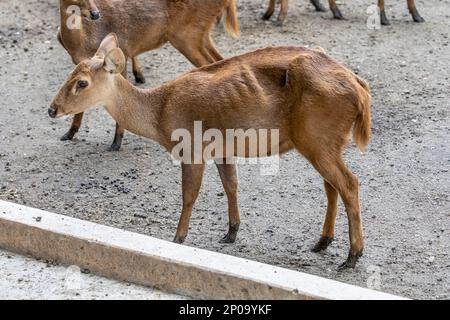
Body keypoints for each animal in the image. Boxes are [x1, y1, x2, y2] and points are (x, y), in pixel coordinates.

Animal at [48, 33, 372, 268]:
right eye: (70, 72)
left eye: (81, 83)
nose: (52, 109)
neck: (159, 114)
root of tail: (360, 90)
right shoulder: (222, 150)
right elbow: (231, 185)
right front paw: (231, 232)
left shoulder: (191, 148)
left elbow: (189, 195)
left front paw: (177, 237)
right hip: (322, 142)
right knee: (331, 186)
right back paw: (322, 242)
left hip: (317, 137)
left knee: (350, 183)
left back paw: (352, 256)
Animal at [58, 0, 241, 151]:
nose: (95, 13)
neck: (81, 41)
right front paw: (69, 133)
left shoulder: (121, 56)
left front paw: (116, 142)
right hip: (200, 35)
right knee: (221, 60)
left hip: (187, 35)